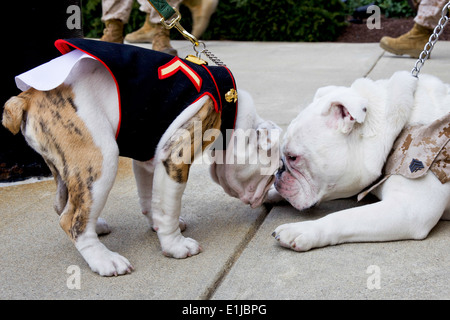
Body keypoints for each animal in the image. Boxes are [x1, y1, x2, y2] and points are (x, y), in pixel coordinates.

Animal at [1, 39, 280, 276]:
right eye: (274, 172)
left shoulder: (150, 157)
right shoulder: (174, 157)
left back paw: (96, 225)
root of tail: (27, 97)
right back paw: (104, 260)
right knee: (71, 220)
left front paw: (156, 224)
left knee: (66, 204)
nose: (274, 185)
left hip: (66, 165)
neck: (231, 109)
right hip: (101, 158)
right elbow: (168, 206)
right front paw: (175, 245)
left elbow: (152, 199)